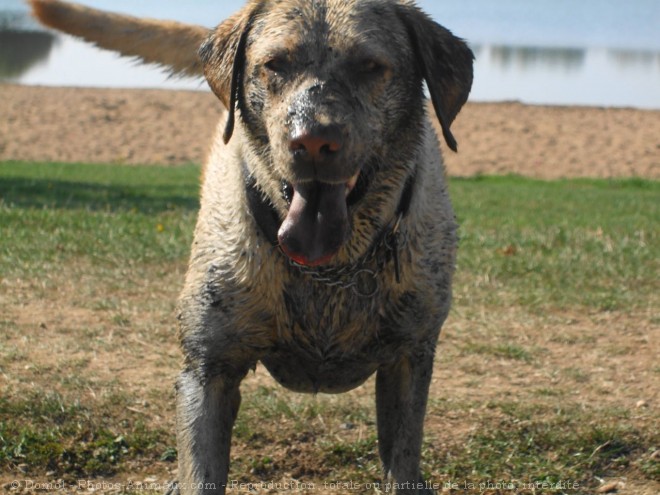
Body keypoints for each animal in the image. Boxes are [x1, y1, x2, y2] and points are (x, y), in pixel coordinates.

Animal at [32, 0, 474, 492]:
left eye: (370, 66)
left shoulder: (408, 361)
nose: (312, 140)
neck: (329, 269)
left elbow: (403, 460)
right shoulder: (208, 369)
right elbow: (200, 468)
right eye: (275, 64)